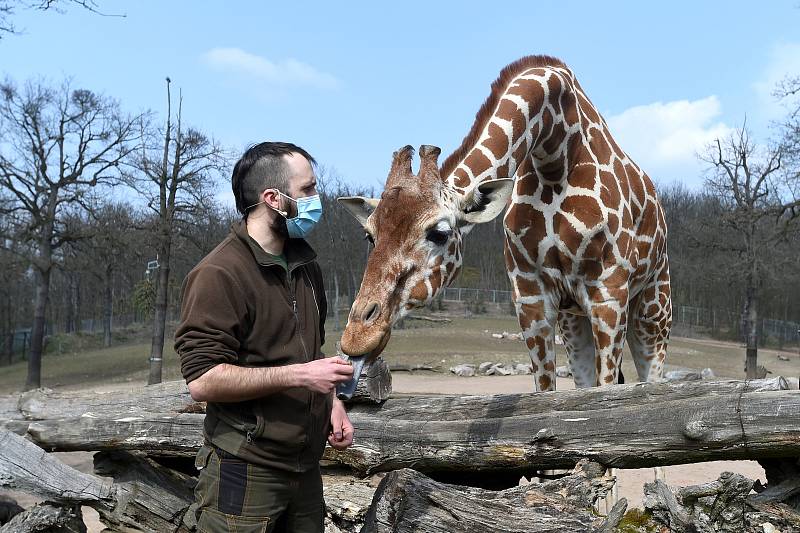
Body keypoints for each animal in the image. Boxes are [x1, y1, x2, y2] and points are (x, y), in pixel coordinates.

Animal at [336, 55, 668, 394]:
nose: (358, 336)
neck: (555, 151)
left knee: (652, 375)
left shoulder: (609, 294)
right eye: (369, 236)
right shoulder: (531, 299)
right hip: (574, 318)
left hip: (653, 309)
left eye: (439, 234)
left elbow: (606, 389)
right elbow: (547, 391)